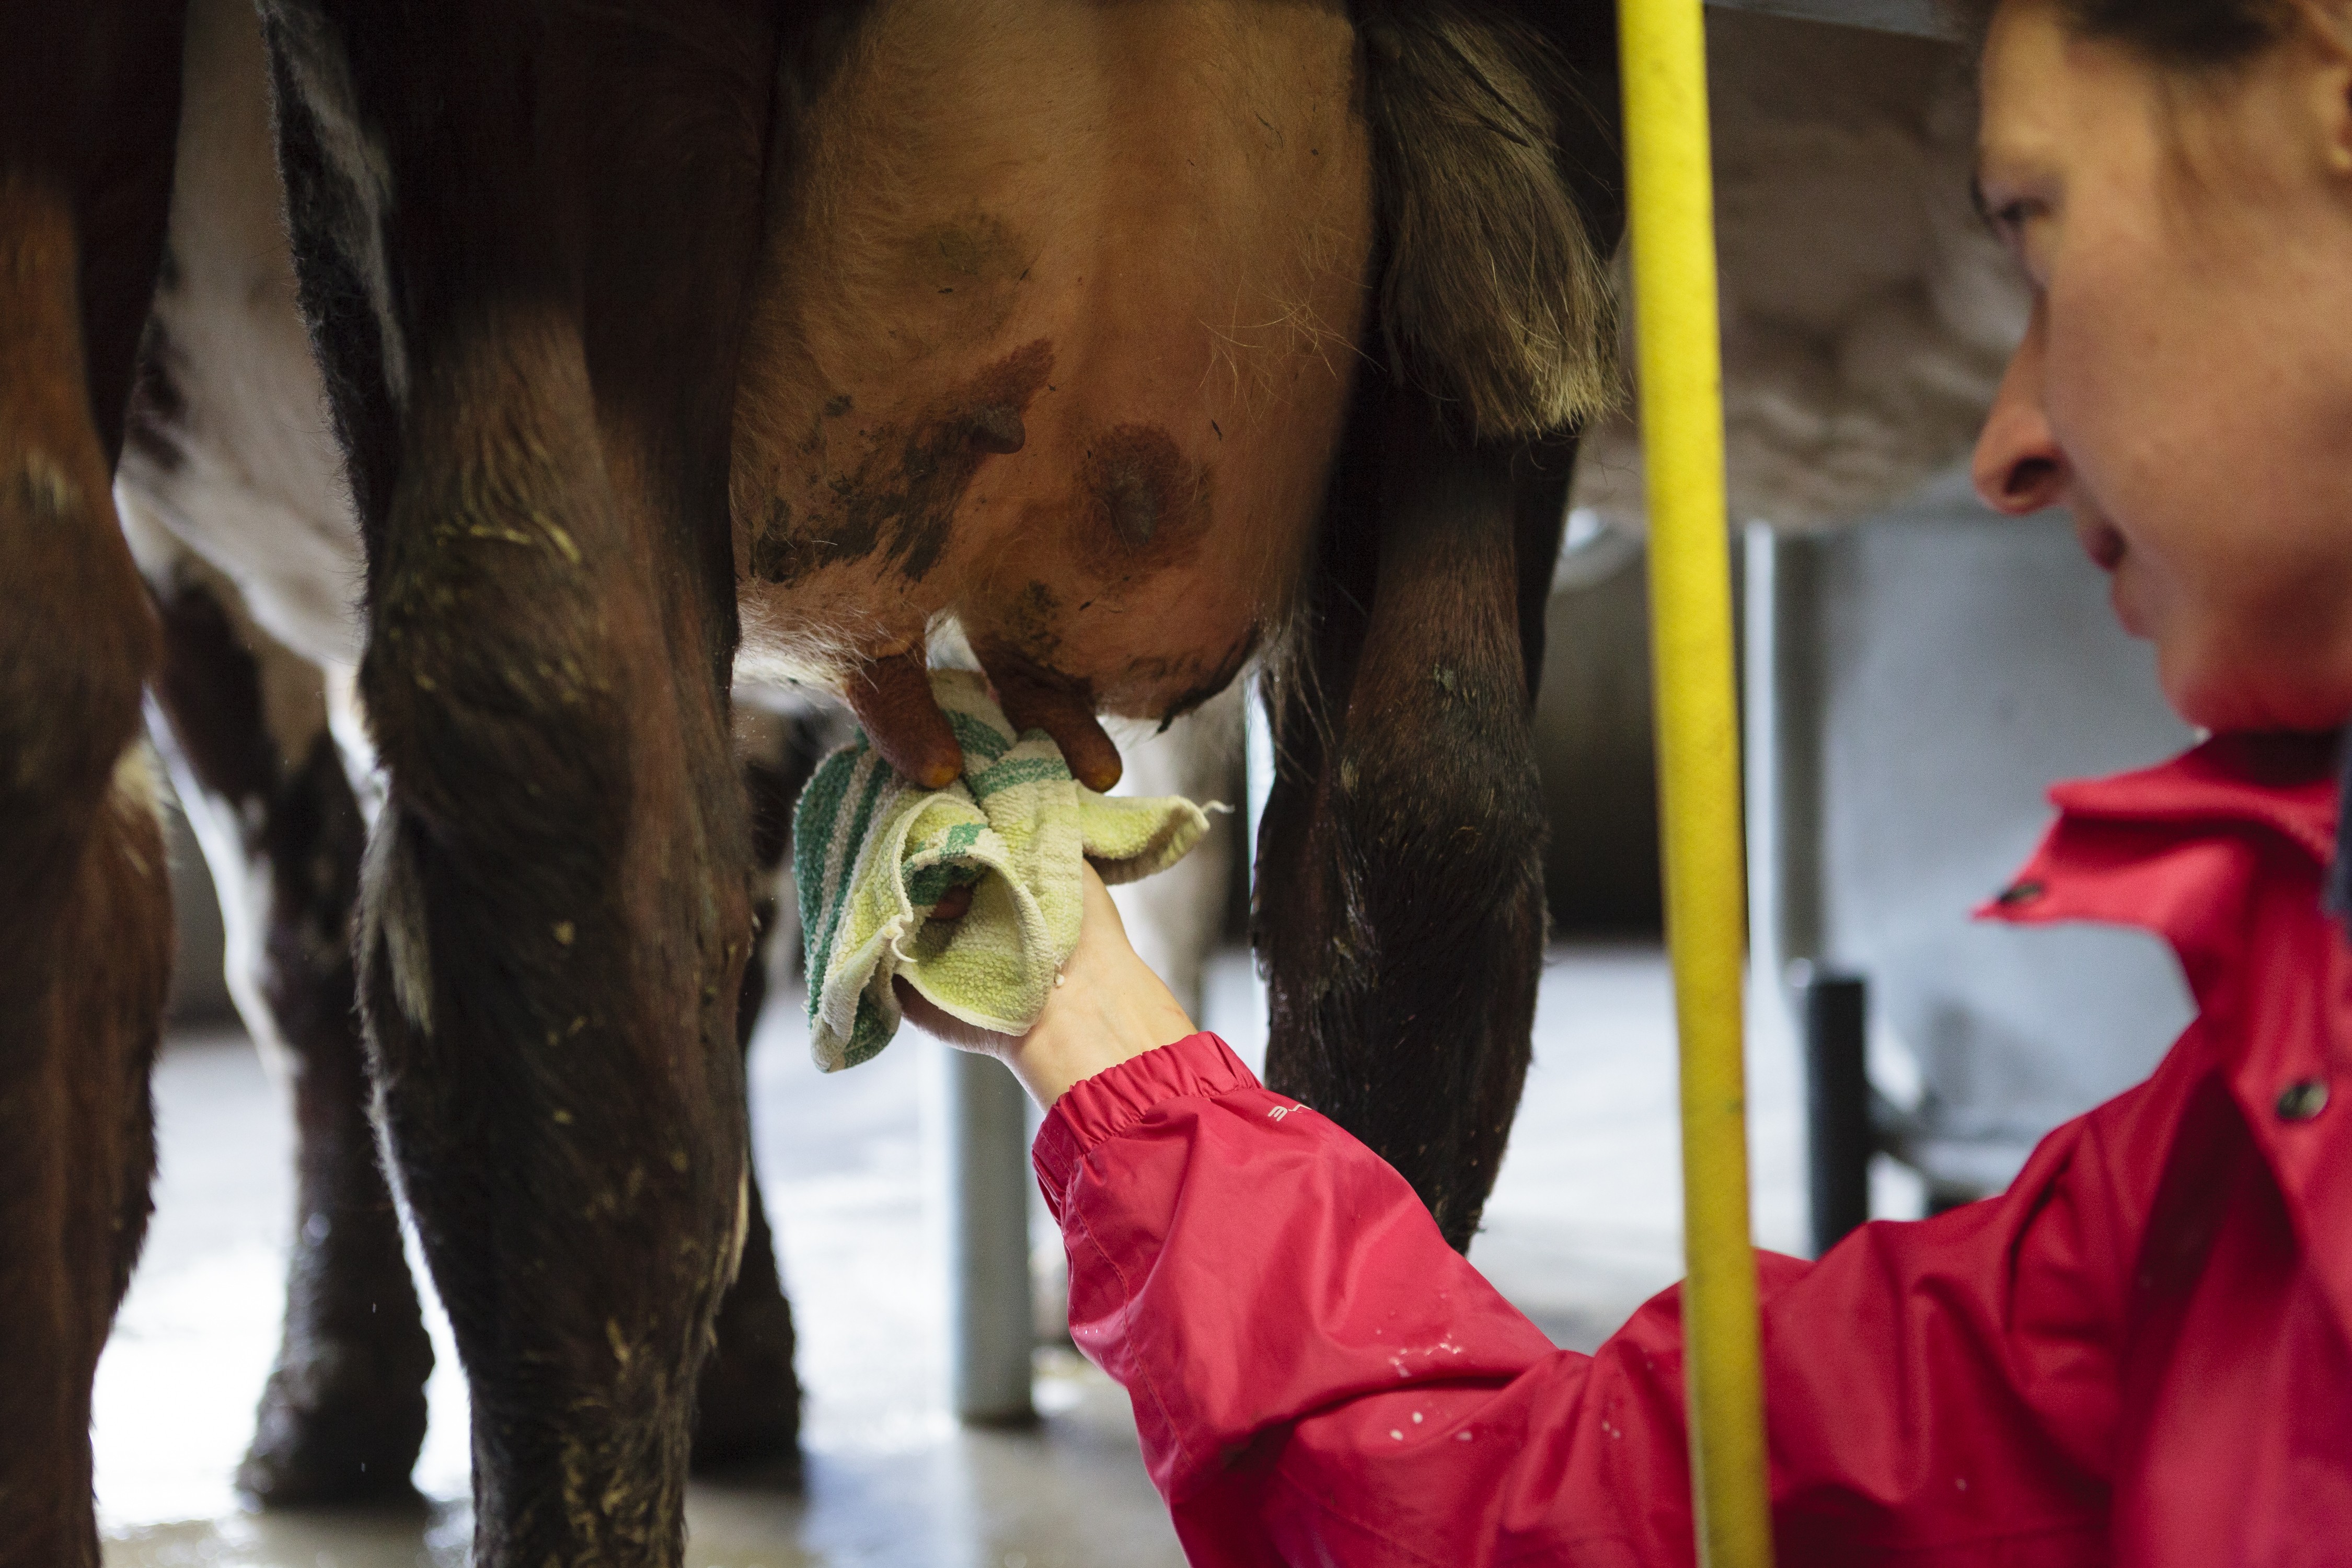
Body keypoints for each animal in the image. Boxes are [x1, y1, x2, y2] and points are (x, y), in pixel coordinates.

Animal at [0, 6, 1628, 1561]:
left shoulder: (195, 568)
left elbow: (298, 953)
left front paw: (327, 1408)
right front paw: (743, 1372)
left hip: (495, 155)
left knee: (531, 785)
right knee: (1421, 833)